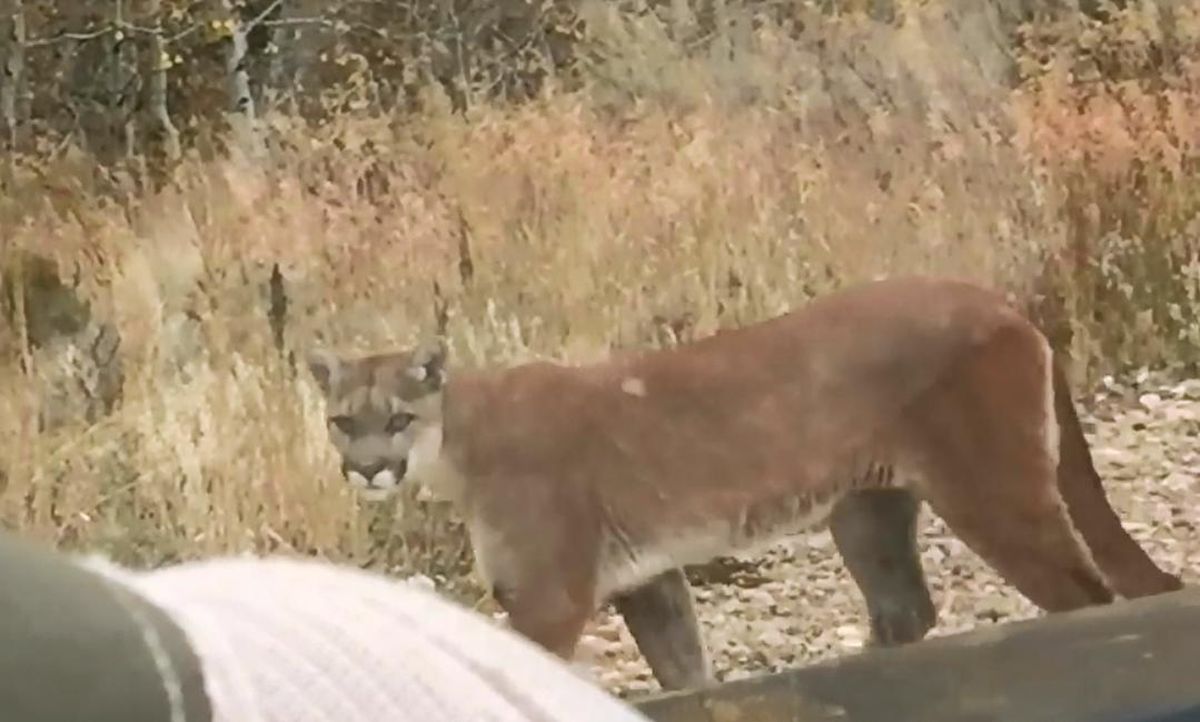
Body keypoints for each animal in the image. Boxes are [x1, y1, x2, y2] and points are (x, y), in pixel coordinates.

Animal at [304, 274, 1176, 686]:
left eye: (397, 418)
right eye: (345, 421)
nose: (368, 468)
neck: (459, 439)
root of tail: (997, 296)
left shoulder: (549, 596)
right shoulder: (645, 578)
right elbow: (684, 669)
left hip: (993, 494)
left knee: (1087, 598)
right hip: (866, 510)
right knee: (906, 610)